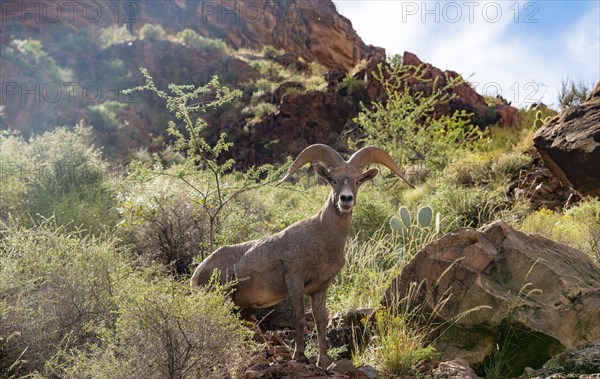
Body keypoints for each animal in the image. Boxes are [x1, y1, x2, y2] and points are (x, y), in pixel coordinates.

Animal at [192, 145, 412, 368]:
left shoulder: (320, 288)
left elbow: (319, 320)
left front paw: (324, 360)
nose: (346, 200)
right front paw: (300, 356)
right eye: (332, 179)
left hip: (240, 308)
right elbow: (298, 317)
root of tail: (198, 273)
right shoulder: (294, 281)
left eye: (358, 180)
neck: (322, 238)